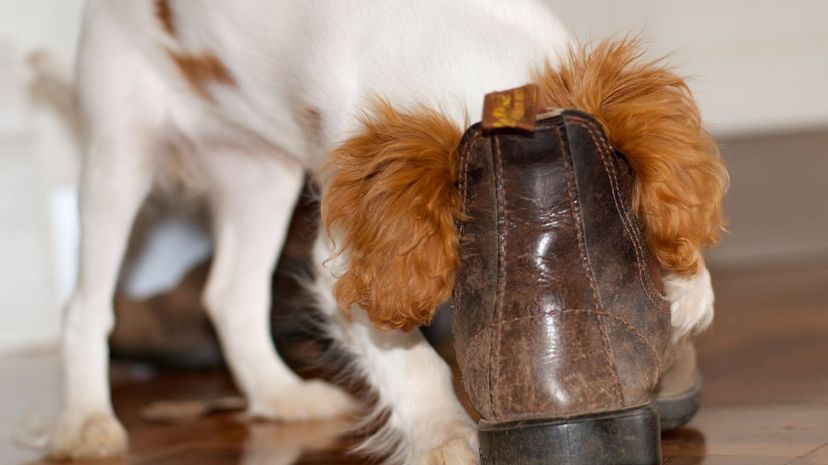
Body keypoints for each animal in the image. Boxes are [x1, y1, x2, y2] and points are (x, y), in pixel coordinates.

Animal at [53, 0, 724, 464]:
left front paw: (686, 287)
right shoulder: (345, 257)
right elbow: (413, 363)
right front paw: (445, 438)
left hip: (259, 174)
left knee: (229, 296)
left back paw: (282, 397)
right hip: (120, 152)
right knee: (86, 306)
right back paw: (86, 422)